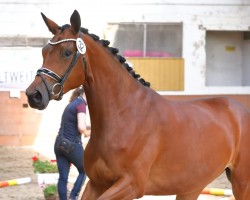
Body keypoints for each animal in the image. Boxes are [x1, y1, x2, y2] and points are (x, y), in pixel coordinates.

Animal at [25, 10, 250, 199]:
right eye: (44, 51)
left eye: (67, 52)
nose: (34, 95)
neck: (124, 115)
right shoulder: (97, 183)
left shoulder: (131, 185)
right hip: (191, 188)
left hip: (241, 182)